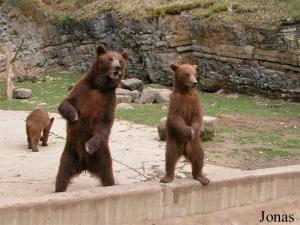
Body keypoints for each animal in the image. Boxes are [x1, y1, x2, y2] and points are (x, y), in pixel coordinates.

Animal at [55, 44, 128, 192]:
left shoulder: (108, 100)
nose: (117, 67)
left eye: (120, 60)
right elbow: (66, 103)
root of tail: (84, 165)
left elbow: (105, 123)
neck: (100, 86)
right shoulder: (82, 89)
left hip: (102, 156)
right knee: (62, 174)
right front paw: (74, 115)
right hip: (70, 154)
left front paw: (89, 146)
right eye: (110, 59)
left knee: (107, 175)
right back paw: (58, 189)